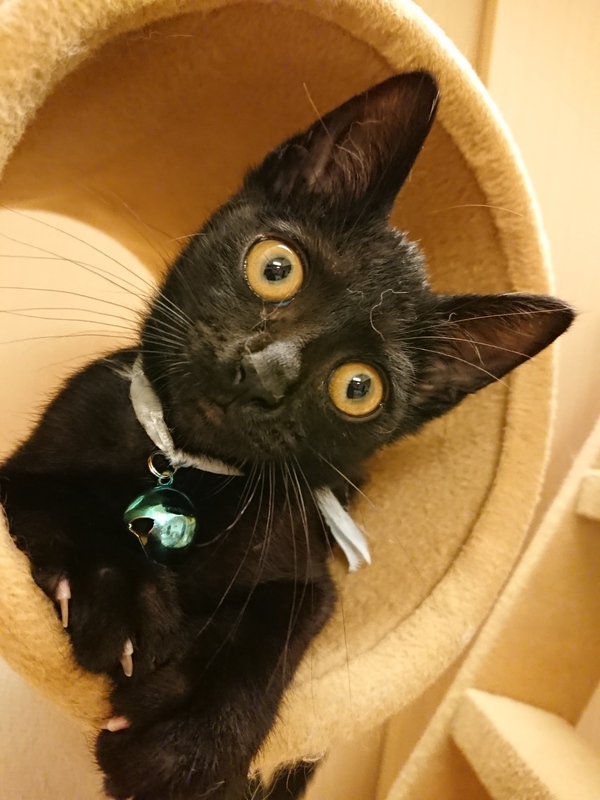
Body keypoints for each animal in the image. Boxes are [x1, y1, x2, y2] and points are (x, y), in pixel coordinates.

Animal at [0, 71, 574, 800]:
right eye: (276, 268)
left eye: (358, 388)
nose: (263, 372)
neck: (188, 471)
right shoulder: (29, 465)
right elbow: (66, 503)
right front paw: (118, 593)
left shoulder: (307, 571)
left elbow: (269, 630)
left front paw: (184, 739)